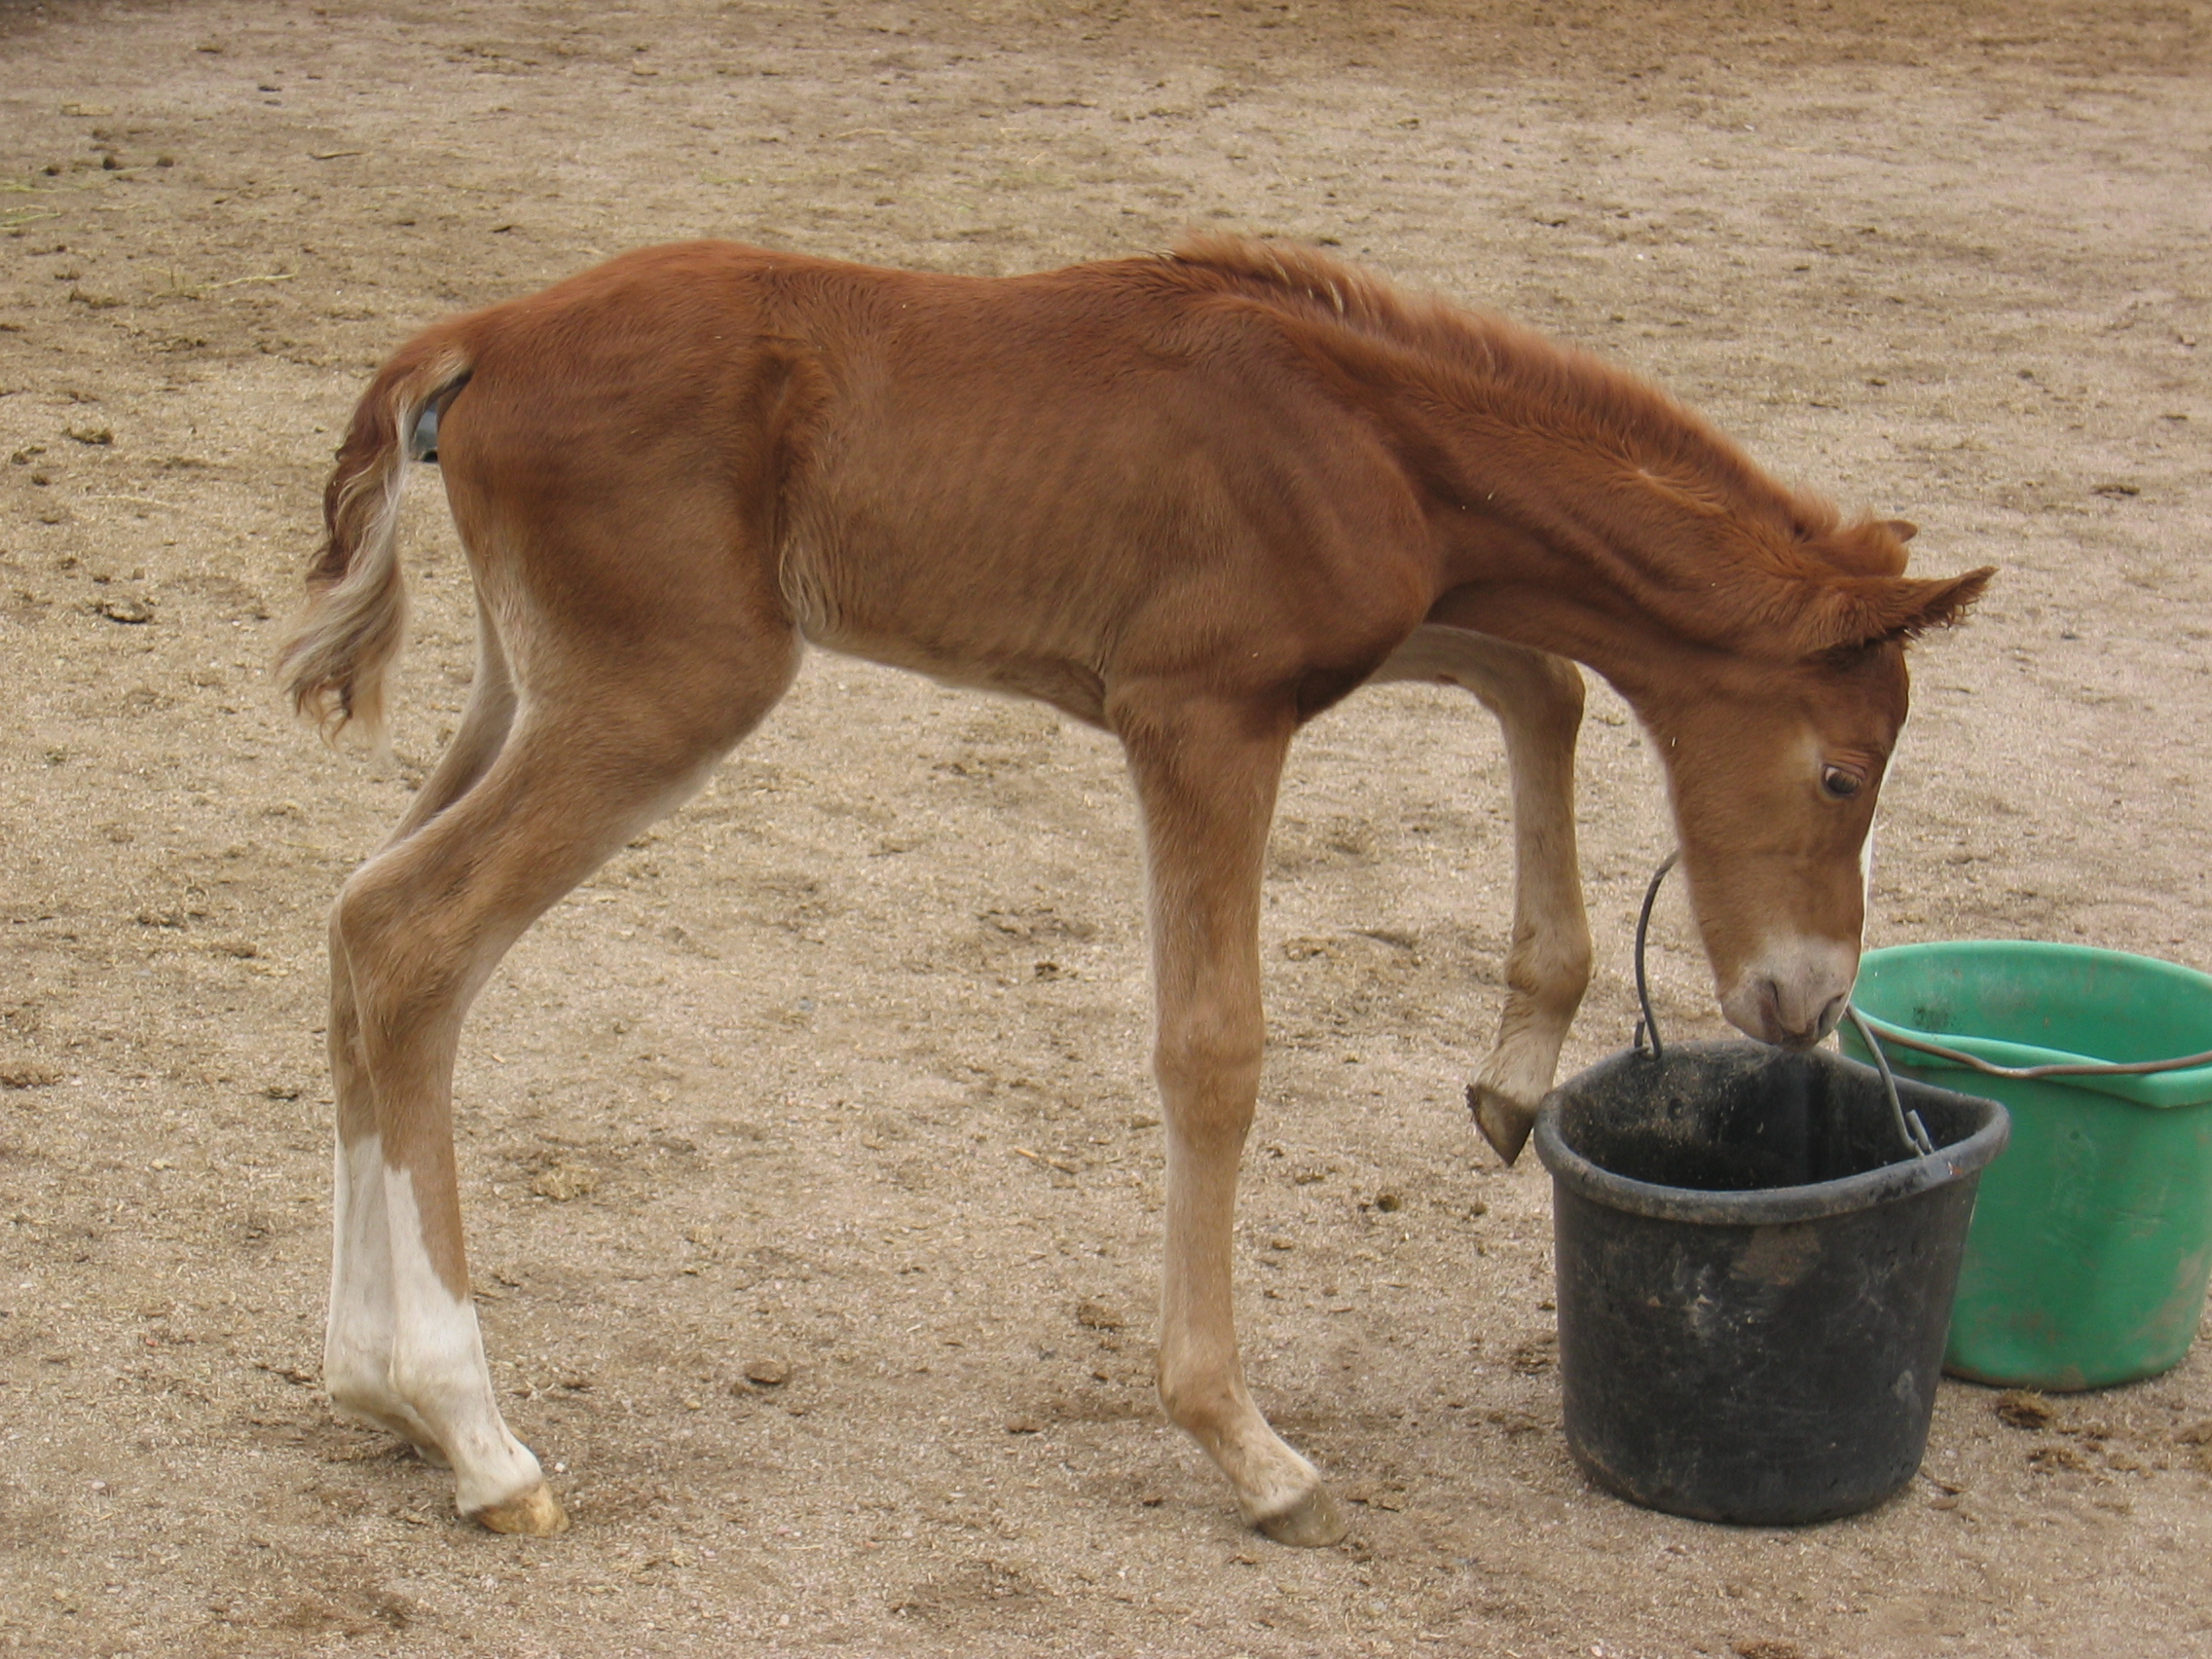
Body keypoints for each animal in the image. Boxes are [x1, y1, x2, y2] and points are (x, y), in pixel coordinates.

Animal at [280, 234, 1990, 1544]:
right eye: (1843, 776)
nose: (1806, 999)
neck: (1367, 431)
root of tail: (475, 339)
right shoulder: (1200, 712)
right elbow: (1212, 1050)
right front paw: (1246, 1444)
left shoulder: (1368, 638)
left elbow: (1548, 681)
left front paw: (1513, 1078)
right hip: (665, 691)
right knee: (418, 936)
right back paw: (476, 1432)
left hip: (529, 688)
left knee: (360, 920)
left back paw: (375, 1387)